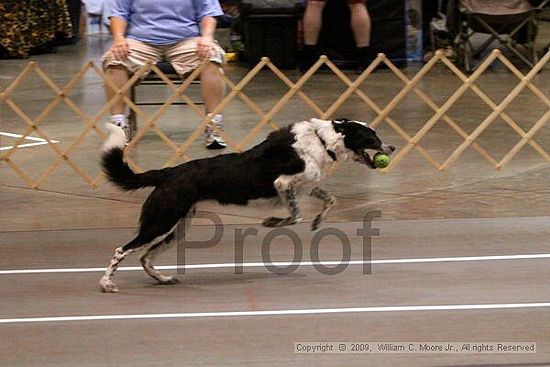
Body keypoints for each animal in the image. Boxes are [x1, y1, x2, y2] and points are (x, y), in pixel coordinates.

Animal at [99, 118, 396, 294]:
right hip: (161, 221)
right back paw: (106, 283)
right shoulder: (283, 183)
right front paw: (273, 222)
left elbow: (329, 200)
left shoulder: (307, 186)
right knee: (121, 250)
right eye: (371, 136)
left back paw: (162, 279)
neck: (322, 140)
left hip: (177, 228)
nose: (392, 147)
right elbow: (294, 216)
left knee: (145, 256)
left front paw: (318, 221)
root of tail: (168, 172)